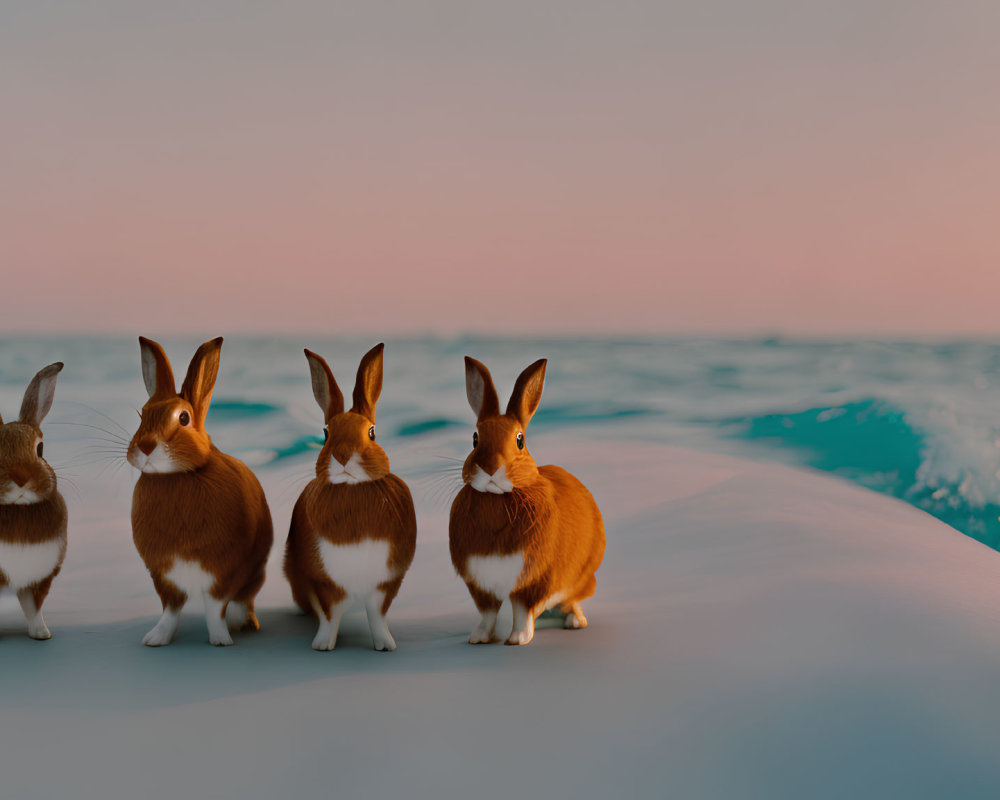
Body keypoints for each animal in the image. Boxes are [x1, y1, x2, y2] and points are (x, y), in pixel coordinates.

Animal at [131, 336, 278, 644]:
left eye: (183, 418)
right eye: (142, 414)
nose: (146, 446)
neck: (177, 476)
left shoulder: (221, 573)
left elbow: (214, 609)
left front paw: (221, 640)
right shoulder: (164, 577)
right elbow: (170, 611)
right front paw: (156, 639)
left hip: (254, 575)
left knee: (243, 600)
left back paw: (245, 623)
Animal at [284, 342, 416, 648]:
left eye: (372, 432)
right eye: (325, 433)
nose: (343, 456)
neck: (352, 490)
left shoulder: (386, 582)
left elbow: (378, 615)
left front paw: (385, 645)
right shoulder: (323, 581)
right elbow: (329, 616)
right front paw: (323, 645)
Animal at [450, 360, 604, 648]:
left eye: (520, 440)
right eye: (475, 438)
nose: (491, 469)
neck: (497, 498)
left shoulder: (532, 581)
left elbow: (522, 611)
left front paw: (518, 639)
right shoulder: (481, 585)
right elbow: (487, 614)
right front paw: (478, 637)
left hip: (581, 578)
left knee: (572, 600)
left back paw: (574, 621)